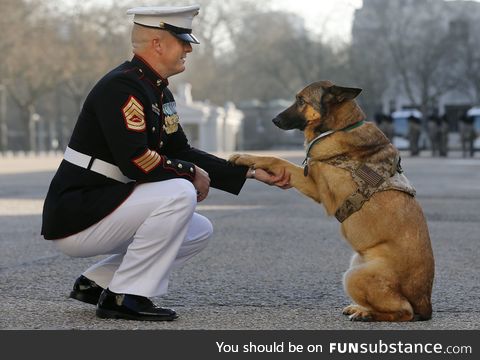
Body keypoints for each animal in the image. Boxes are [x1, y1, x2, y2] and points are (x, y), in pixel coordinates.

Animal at [231, 81, 436, 320]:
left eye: (301, 100)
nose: (274, 120)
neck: (340, 128)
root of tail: (425, 303)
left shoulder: (317, 187)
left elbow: (276, 159)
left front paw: (244, 157)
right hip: (355, 264)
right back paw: (360, 308)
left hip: (354, 276)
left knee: (404, 311)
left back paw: (368, 314)